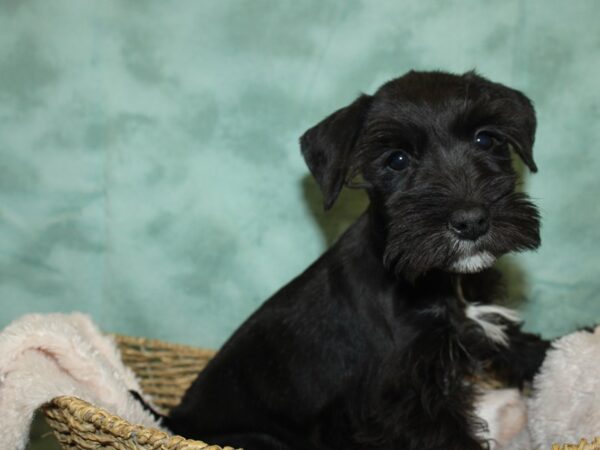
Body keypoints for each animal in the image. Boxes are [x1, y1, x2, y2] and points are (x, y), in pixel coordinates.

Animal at [164, 70, 548, 450]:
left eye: (485, 139)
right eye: (397, 159)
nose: (471, 221)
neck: (439, 282)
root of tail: (172, 419)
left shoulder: (486, 327)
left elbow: (529, 349)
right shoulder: (411, 401)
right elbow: (451, 438)